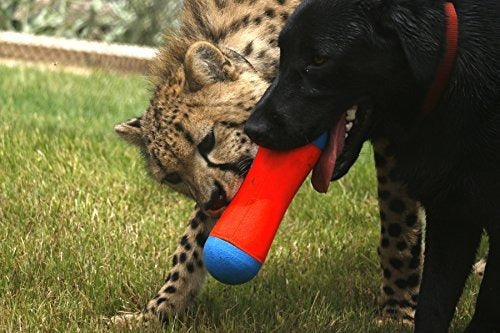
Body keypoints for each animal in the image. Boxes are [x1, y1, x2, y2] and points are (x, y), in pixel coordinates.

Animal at [113, 0, 426, 324]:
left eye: (207, 141)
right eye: (173, 177)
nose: (213, 200)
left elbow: (397, 224)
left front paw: (398, 309)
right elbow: (192, 243)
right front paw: (156, 310)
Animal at [245, 0, 500, 330]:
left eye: (319, 59)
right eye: (282, 53)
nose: (253, 129)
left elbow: (485, 310)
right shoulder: (452, 216)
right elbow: (432, 306)